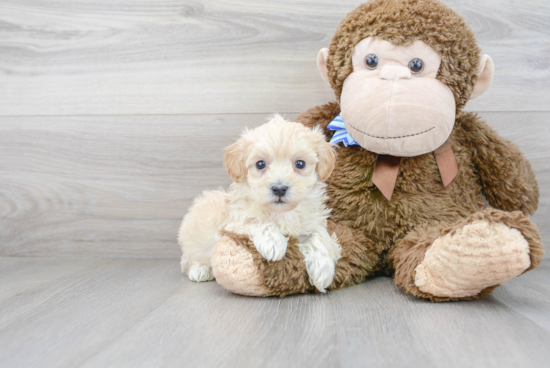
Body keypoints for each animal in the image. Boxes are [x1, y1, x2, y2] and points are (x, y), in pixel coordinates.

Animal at [178, 116, 340, 292]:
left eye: (300, 164)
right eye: (260, 164)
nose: (279, 188)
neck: (281, 212)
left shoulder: (313, 222)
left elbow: (320, 236)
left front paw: (323, 270)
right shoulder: (233, 222)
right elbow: (255, 219)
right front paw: (274, 243)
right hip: (191, 243)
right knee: (188, 260)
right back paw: (200, 270)